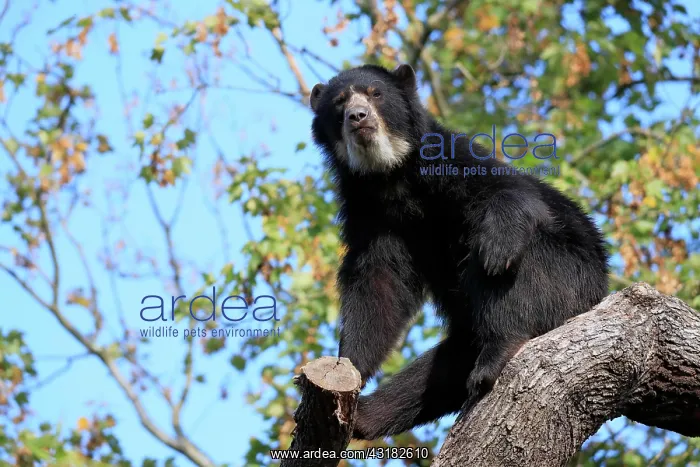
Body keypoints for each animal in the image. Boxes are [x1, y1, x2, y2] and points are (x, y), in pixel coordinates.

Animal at [309, 63, 609, 440]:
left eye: (375, 94)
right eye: (339, 102)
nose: (358, 117)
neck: (390, 177)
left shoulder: (451, 160)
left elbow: (508, 191)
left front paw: (497, 248)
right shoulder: (369, 214)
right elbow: (378, 286)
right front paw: (349, 366)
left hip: (567, 278)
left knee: (515, 280)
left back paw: (497, 352)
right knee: (437, 372)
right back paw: (366, 417)